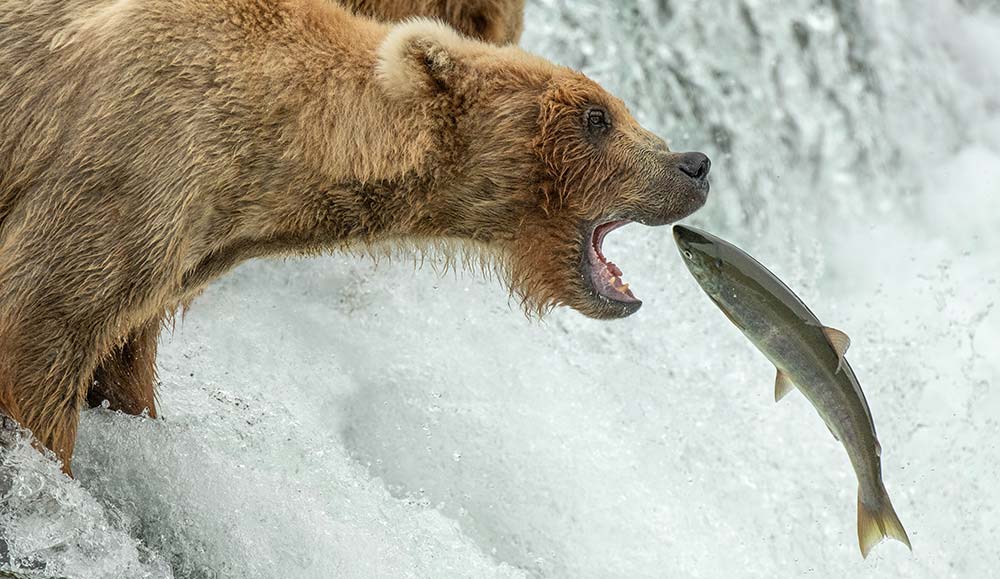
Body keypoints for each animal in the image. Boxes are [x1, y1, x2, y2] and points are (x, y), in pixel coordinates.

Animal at [0, 0, 710, 475]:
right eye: (597, 117)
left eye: (616, 108)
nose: (694, 165)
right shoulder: (139, 160)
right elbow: (42, 330)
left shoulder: (181, 243)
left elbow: (121, 358)